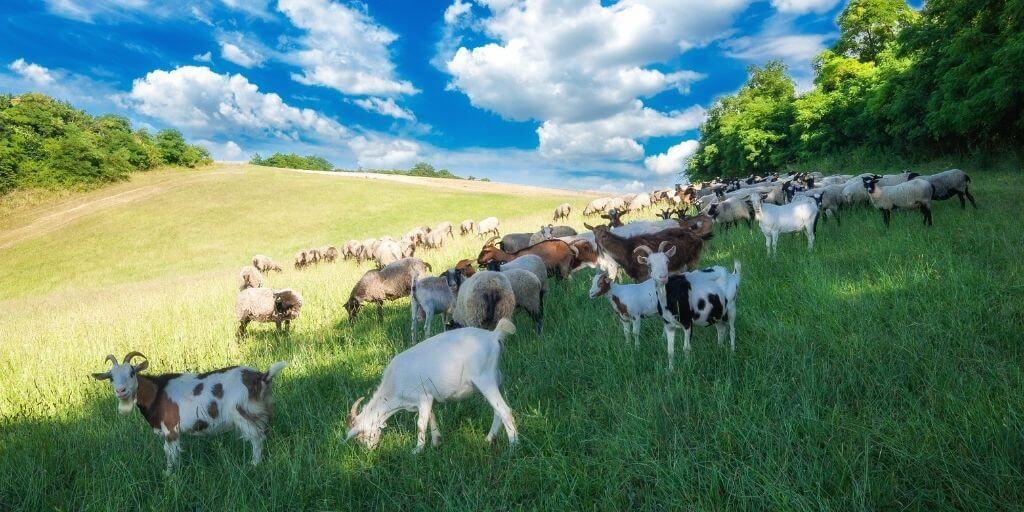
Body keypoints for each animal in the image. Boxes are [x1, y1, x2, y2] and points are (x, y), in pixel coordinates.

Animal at [91, 352, 287, 474]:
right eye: (111, 377)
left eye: (132, 372)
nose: (121, 391)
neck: (157, 392)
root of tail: (260, 377)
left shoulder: (170, 429)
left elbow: (169, 452)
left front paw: (169, 474)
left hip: (244, 413)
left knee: (257, 438)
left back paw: (254, 465)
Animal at [345, 319, 519, 453]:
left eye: (362, 435)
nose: (370, 450)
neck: (392, 388)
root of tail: (493, 335)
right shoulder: (427, 399)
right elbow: (431, 418)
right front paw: (436, 442)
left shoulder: (422, 396)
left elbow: (421, 424)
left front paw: (417, 450)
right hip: (494, 379)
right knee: (497, 411)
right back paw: (489, 439)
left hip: (485, 379)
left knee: (505, 410)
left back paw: (513, 445)